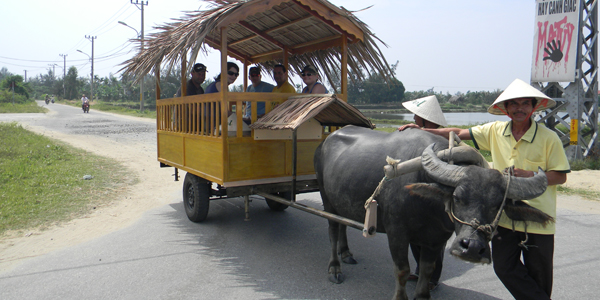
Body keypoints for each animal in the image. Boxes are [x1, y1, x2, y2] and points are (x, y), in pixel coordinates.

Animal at [314, 126, 552, 300]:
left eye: (497, 206)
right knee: (333, 229)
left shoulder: (437, 238)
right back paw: (334, 268)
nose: (472, 248)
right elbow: (402, 270)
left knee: (342, 225)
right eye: (457, 197)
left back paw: (346, 254)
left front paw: (422, 296)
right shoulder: (397, 233)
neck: (429, 206)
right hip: (326, 198)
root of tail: (326, 140)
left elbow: (428, 269)